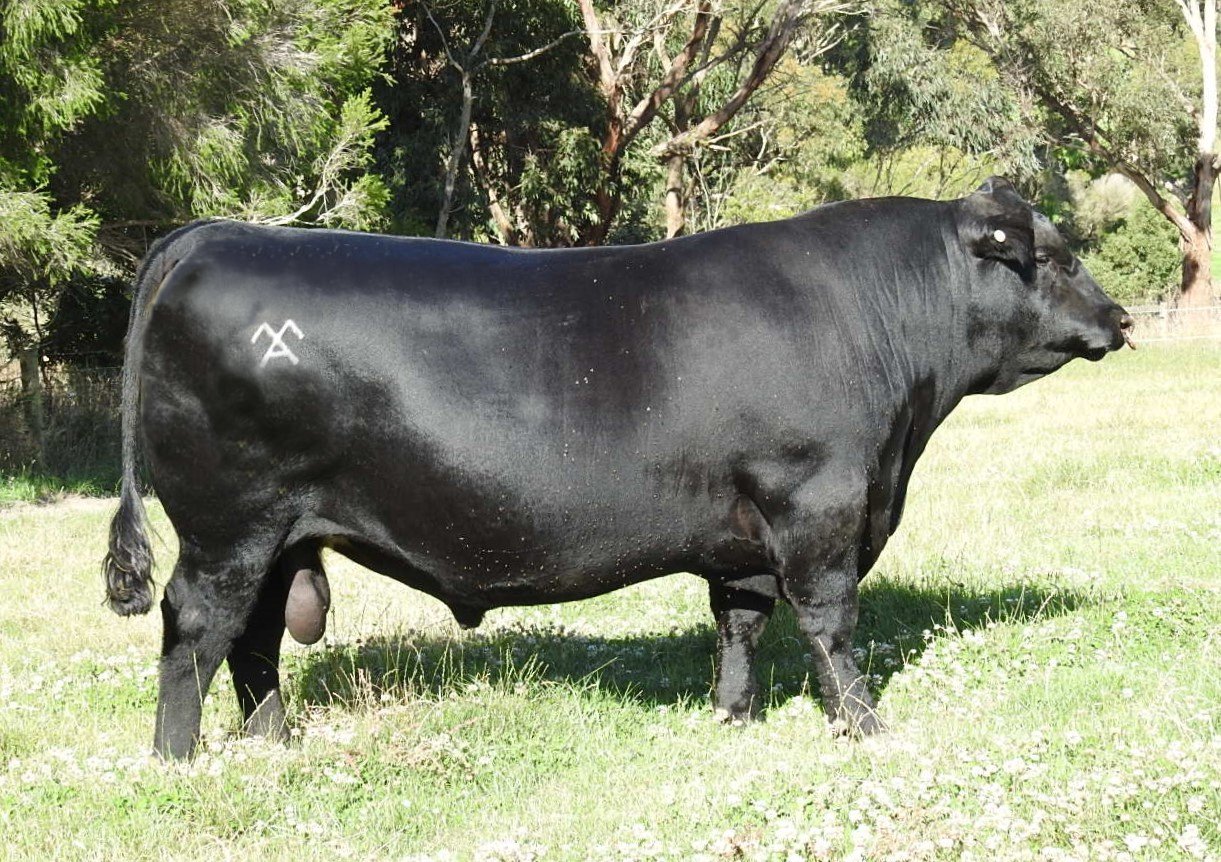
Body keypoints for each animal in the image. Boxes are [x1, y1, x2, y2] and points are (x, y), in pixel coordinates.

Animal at [102, 178, 1134, 760]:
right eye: (1054, 257)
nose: (1119, 318)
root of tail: (217, 233)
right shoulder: (819, 507)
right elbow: (831, 628)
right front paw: (866, 729)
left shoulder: (742, 537)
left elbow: (739, 626)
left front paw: (731, 721)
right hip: (230, 524)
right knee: (197, 629)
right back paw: (178, 760)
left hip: (281, 533)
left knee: (255, 638)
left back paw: (274, 745)